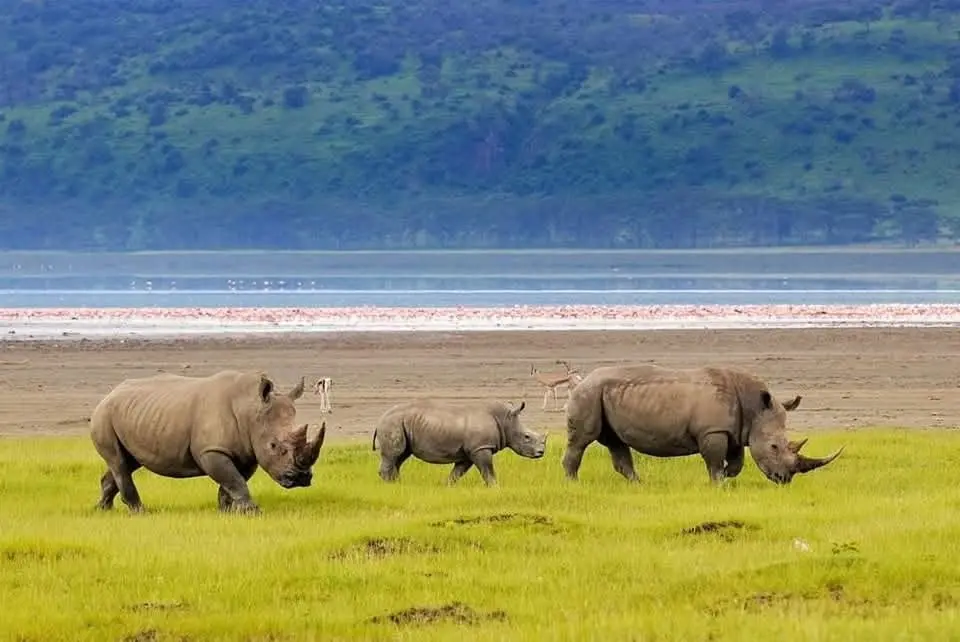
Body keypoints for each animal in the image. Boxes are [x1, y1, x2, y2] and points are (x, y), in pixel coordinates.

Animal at [89, 370, 327, 514]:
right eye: (275, 446)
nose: (301, 478)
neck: (250, 409)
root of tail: (110, 393)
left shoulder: (248, 451)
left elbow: (233, 481)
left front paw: (227, 511)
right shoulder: (211, 451)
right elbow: (234, 480)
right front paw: (252, 512)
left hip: (134, 414)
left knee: (128, 462)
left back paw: (102, 509)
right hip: (104, 415)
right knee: (119, 462)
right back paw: (140, 512)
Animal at [372, 399, 547, 486]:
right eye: (527, 437)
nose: (541, 453)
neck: (505, 420)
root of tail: (379, 420)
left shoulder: (469, 452)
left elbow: (457, 473)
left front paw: (447, 486)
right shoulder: (480, 447)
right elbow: (488, 471)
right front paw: (495, 488)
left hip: (400, 423)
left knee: (400, 457)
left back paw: (398, 485)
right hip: (392, 423)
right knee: (393, 455)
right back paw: (392, 486)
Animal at [563, 364, 843, 485]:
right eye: (774, 447)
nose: (784, 480)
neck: (754, 407)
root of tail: (580, 380)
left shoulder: (735, 431)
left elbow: (737, 462)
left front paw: (727, 479)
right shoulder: (713, 431)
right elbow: (715, 461)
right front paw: (718, 483)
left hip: (603, 394)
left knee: (616, 443)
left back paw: (638, 484)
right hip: (588, 394)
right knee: (581, 441)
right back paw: (573, 484)